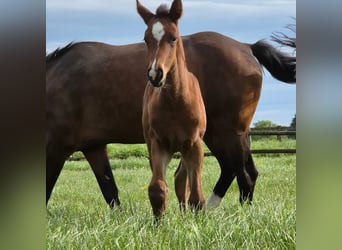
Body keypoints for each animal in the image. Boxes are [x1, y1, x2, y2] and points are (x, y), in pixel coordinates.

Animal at [46, 16, 294, 209]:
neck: (57, 78)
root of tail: (246, 46)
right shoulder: (94, 147)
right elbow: (110, 191)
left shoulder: (57, 147)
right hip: (232, 134)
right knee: (241, 171)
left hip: (223, 133)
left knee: (241, 173)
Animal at [136, 0, 206, 219]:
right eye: (145, 39)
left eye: (173, 38)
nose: (155, 74)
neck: (176, 102)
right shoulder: (158, 144)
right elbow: (157, 188)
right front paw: (160, 222)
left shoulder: (194, 144)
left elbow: (197, 195)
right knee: (176, 179)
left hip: (185, 148)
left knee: (182, 179)